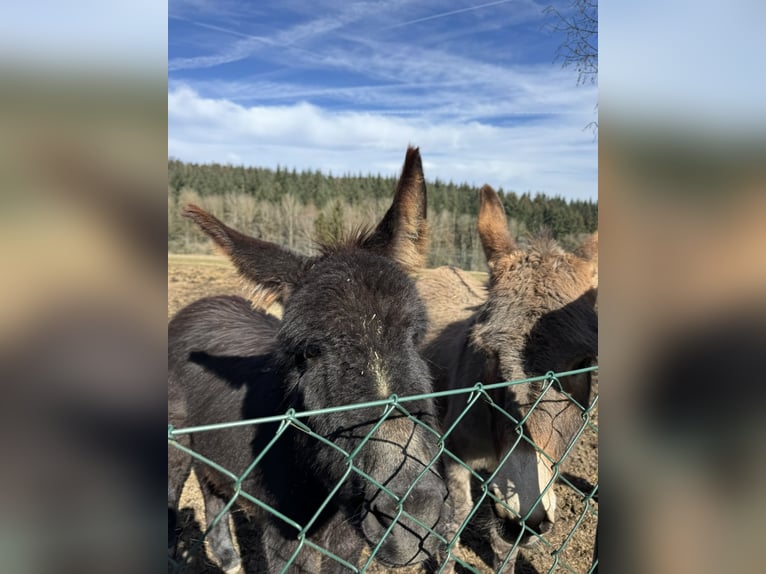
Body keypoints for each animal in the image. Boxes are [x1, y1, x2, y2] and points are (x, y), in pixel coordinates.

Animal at [168, 147, 452, 573]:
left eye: (415, 337)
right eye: (308, 352)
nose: (413, 517)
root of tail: (196, 306)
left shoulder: (348, 538)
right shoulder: (283, 538)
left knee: (212, 485)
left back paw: (227, 556)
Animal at [417, 184, 597, 570]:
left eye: (583, 362)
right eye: (488, 351)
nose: (525, 517)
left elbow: (503, 546)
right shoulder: (455, 452)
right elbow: (456, 517)